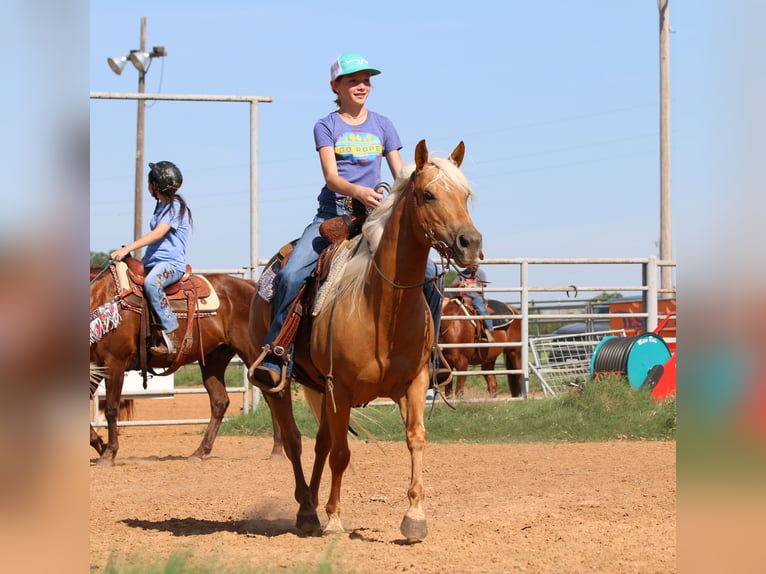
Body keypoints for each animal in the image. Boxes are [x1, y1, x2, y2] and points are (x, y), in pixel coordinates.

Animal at [89, 265, 284, 465]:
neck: (100, 295)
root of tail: (253, 287)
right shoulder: (95, 365)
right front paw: (101, 446)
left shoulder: (114, 362)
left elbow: (112, 409)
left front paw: (109, 453)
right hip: (214, 359)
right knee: (220, 401)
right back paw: (199, 452)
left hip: (253, 354)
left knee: (273, 395)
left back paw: (277, 450)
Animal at [248, 140, 483, 541]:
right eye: (428, 194)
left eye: (465, 196)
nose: (470, 243)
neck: (382, 311)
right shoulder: (340, 389)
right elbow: (342, 454)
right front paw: (335, 520)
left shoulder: (414, 383)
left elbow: (415, 438)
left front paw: (415, 517)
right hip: (279, 386)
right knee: (294, 440)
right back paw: (309, 511)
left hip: (318, 387)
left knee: (321, 443)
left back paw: (311, 509)